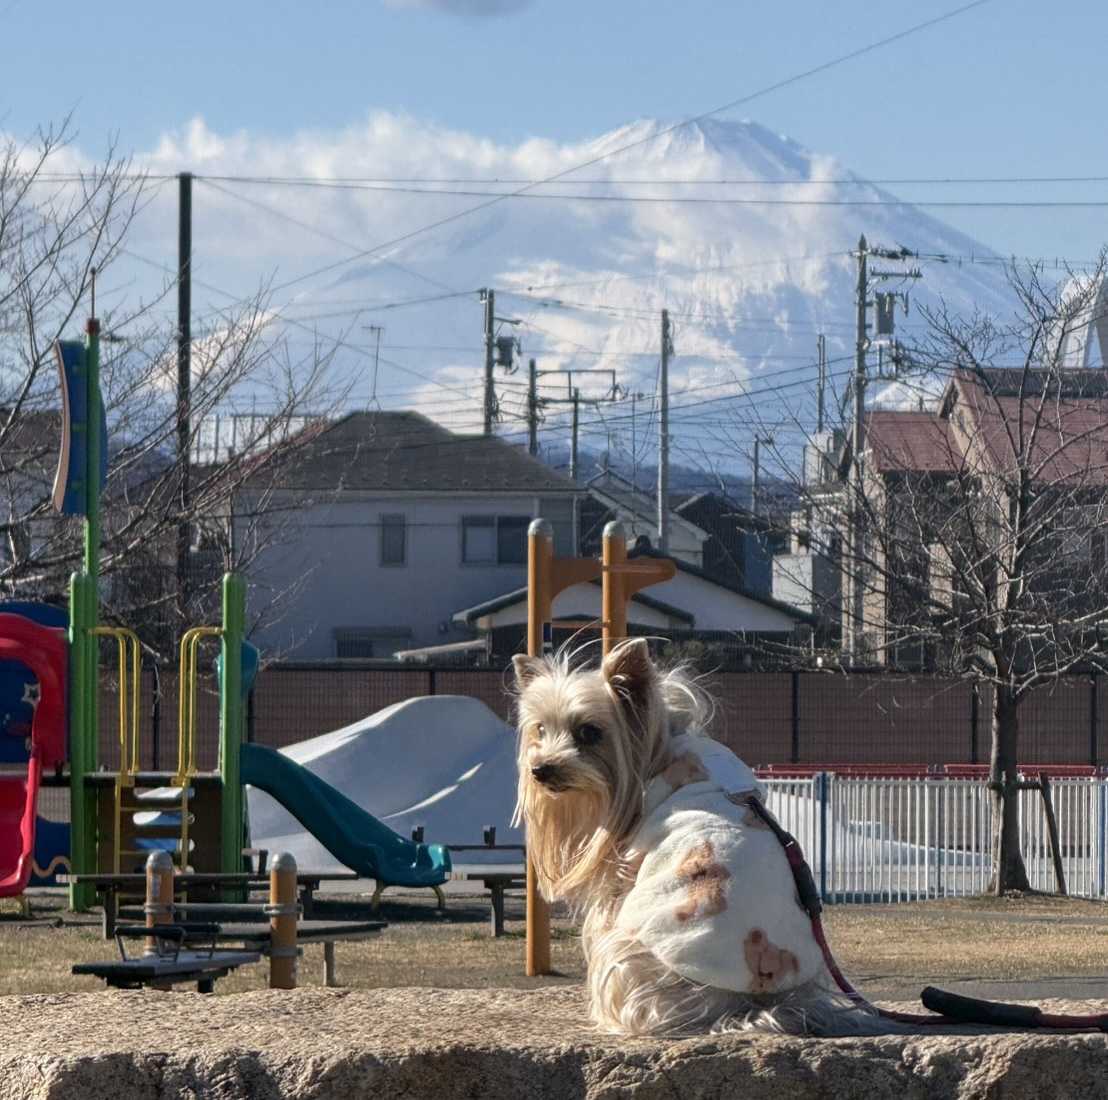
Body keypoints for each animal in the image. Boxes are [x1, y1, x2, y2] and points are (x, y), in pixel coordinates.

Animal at [512, 638, 885, 1037]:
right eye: (539, 730)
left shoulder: (622, 873)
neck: (658, 751)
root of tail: (749, 1000)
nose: (540, 769)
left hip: (628, 950)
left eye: (589, 732)